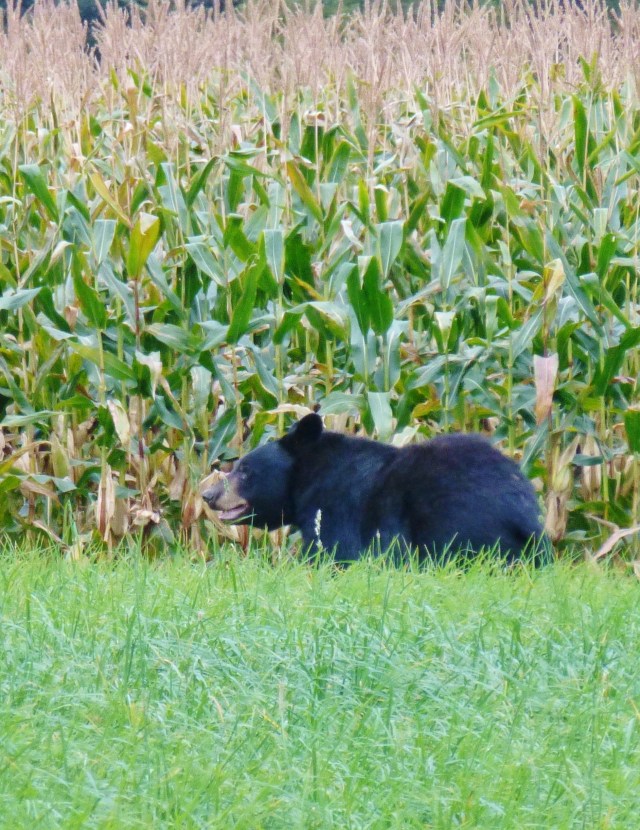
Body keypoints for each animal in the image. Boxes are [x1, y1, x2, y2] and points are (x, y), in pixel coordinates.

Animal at [202, 413, 549, 565]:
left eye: (245, 469)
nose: (208, 495)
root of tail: (523, 514)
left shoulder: (335, 507)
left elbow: (332, 552)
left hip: (454, 519)